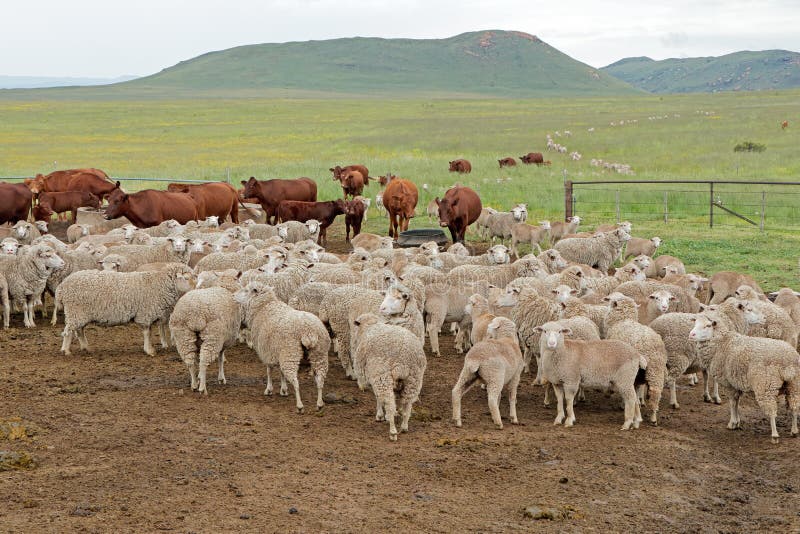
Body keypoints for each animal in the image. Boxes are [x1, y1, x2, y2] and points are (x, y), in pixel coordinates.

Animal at [54, 264, 194, 356]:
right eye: (187, 278)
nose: (195, 289)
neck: (159, 284)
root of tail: (62, 287)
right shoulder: (145, 314)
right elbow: (147, 333)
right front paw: (149, 350)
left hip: (80, 313)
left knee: (79, 330)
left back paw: (85, 347)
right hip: (75, 311)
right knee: (68, 331)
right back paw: (66, 350)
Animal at [234, 284, 328, 414]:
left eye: (246, 290)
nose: (233, 295)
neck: (263, 307)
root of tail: (308, 330)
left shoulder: (266, 351)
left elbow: (269, 370)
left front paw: (269, 389)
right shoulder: (277, 351)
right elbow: (281, 372)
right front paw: (283, 389)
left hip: (290, 353)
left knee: (296, 381)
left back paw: (300, 406)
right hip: (319, 353)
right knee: (320, 379)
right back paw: (319, 404)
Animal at [350, 312, 424, 442]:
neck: (370, 326)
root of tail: (403, 355)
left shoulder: (374, 377)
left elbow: (378, 398)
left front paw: (380, 415)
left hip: (383, 376)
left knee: (390, 404)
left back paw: (393, 431)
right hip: (413, 379)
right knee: (407, 404)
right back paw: (404, 426)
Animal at [688, 314, 800, 444]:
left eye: (707, 325)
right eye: (695, 323)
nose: (691, 335)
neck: (721, 343)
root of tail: (787, 362)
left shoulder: (729, 383)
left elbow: (732, 402)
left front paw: (732, 423)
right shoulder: (736, 383)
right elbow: (737, 401)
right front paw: (737, 422)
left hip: (765, 386)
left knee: (772, 411)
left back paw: (775, 435)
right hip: (794, 384)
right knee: (794, 407)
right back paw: (794, 431)